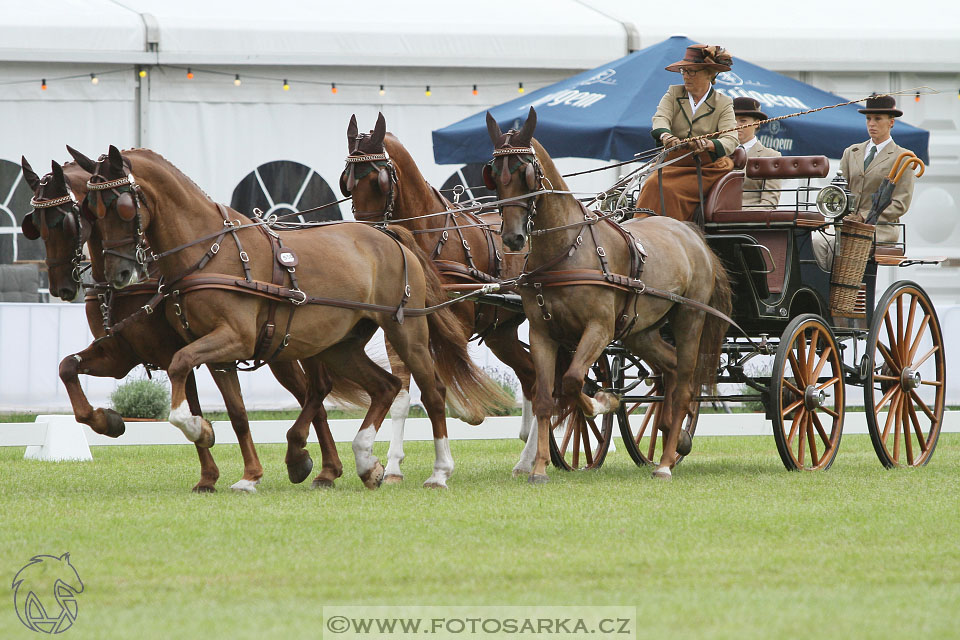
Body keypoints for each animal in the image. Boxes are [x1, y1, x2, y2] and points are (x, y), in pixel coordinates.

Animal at [22, 152, 348, 492]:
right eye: (35, 225)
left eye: (66, 222)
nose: (61, 287)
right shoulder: (119, 356)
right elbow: (67, 367)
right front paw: (108, 421)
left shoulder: (173, 353)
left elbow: (195, 406)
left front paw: (208, 463)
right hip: (278, 349)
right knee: (312, 395)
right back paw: (321, 466)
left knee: (316, 390)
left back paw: (317, 465)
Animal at [87, 145, 510, 488]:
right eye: (92, 211)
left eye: (121, 207)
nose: (118, 272)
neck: (211, 252)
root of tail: (391, 236)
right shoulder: (219, 352)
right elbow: (235, 411)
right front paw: (242, 470)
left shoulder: (234, 337)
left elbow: (178, 364)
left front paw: (199, 429)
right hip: (342, 346)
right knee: (386, 386)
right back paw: (366, 461)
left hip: (406, 329)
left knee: (433, 392)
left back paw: (438, 471)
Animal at [344, 114, 540, 480]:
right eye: (346, 182)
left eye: (379, 181)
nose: (366, 238)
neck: (430, 236)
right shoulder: (399, 331)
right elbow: (401, 396)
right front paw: (393, 466)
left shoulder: (452, 328)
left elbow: (440, 382)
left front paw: (464, 419)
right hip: (501, 333)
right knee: (533, 377)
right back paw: (529, 452)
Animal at [488, 110, 728, 480]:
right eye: (495, 176)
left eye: (526, 172)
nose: (513, 238)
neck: (568, 249)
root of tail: (691, 233)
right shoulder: (542, 332)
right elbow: (545, 398)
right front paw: (539, 468)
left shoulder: (599, 329)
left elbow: (573, 380)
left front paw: (603, 402)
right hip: (639, 331)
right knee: (670, 371)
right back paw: (673, 436)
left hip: (690, 318)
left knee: (686, 384)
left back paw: (666, 462)